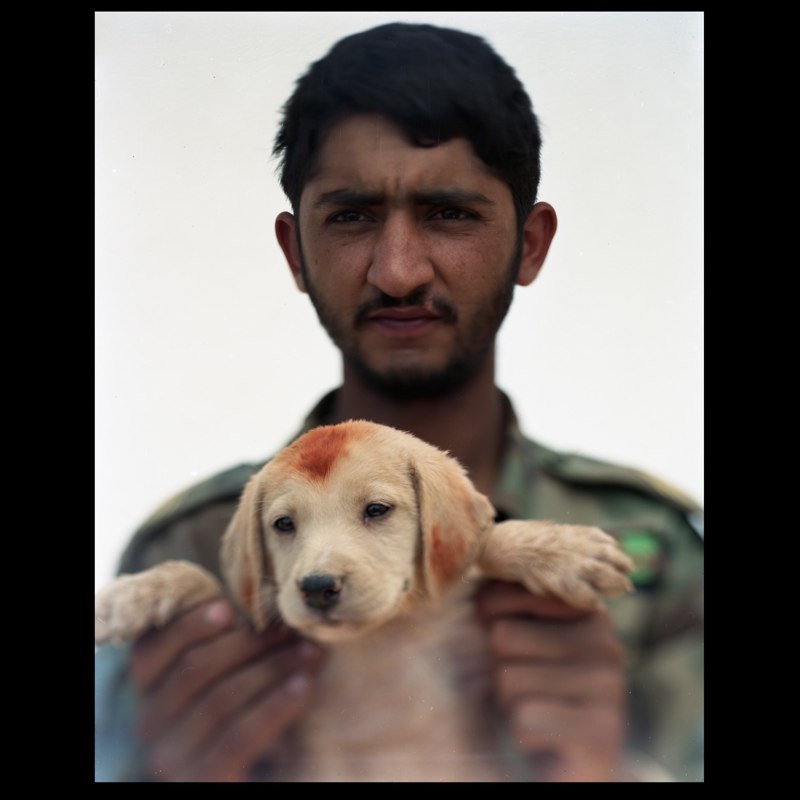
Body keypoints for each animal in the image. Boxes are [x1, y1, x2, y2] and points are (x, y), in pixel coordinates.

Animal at [95, 422, 632, 780]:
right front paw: (130, 595)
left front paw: (561, 549)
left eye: (376, 510)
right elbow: (198, 576)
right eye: (283, 524)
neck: (379, 639)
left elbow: (485, 544)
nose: (316, 586)